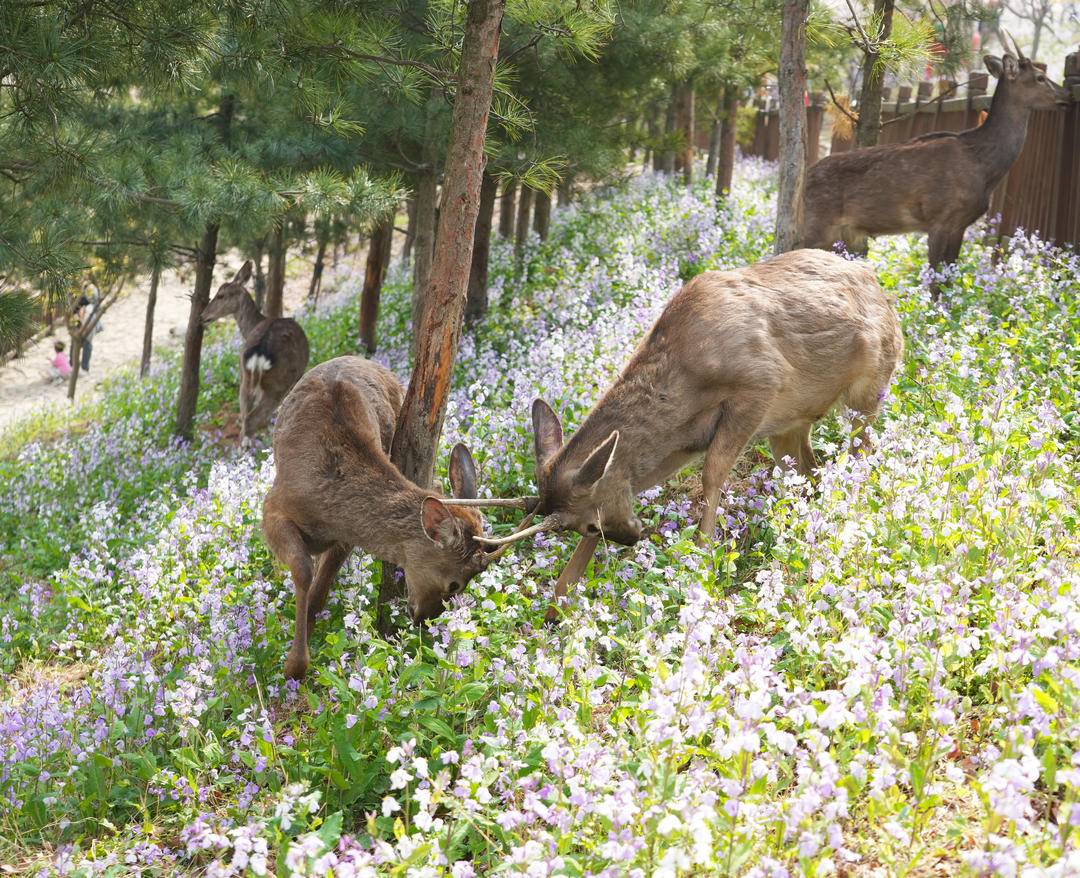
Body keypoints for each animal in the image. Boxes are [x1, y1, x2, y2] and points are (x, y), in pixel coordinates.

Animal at [201, 261, 310, 444]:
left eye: (221, 295)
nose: (203, 316)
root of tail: (259, 353)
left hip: (245, 380)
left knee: (245, 421)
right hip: (278, 383)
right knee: (254, 420)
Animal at [262, 355, 521, 680]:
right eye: (454, 584)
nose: (424, 620)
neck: (329, 508)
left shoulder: (347, 538)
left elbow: (318, 591)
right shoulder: (273, 506)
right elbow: (302, 571)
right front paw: (294, 668)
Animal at [443, 249, 903, 620]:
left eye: (591, 526)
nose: (633, 537)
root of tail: (883, 293)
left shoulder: (761, 385)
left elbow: (713, 474)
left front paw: (700, 559)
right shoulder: (678, 446)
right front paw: (559, 604)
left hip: (869, 387)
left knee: (864, 448)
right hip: (791, 425)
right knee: (810, 470)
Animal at [799, 38, 1070, 295]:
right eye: (1040, 77)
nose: (1067, 95)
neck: (984, 166)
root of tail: (805, 178)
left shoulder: (960, 224)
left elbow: (949, 282)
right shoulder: (940, 217)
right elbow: (936, 283)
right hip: (818, 222)